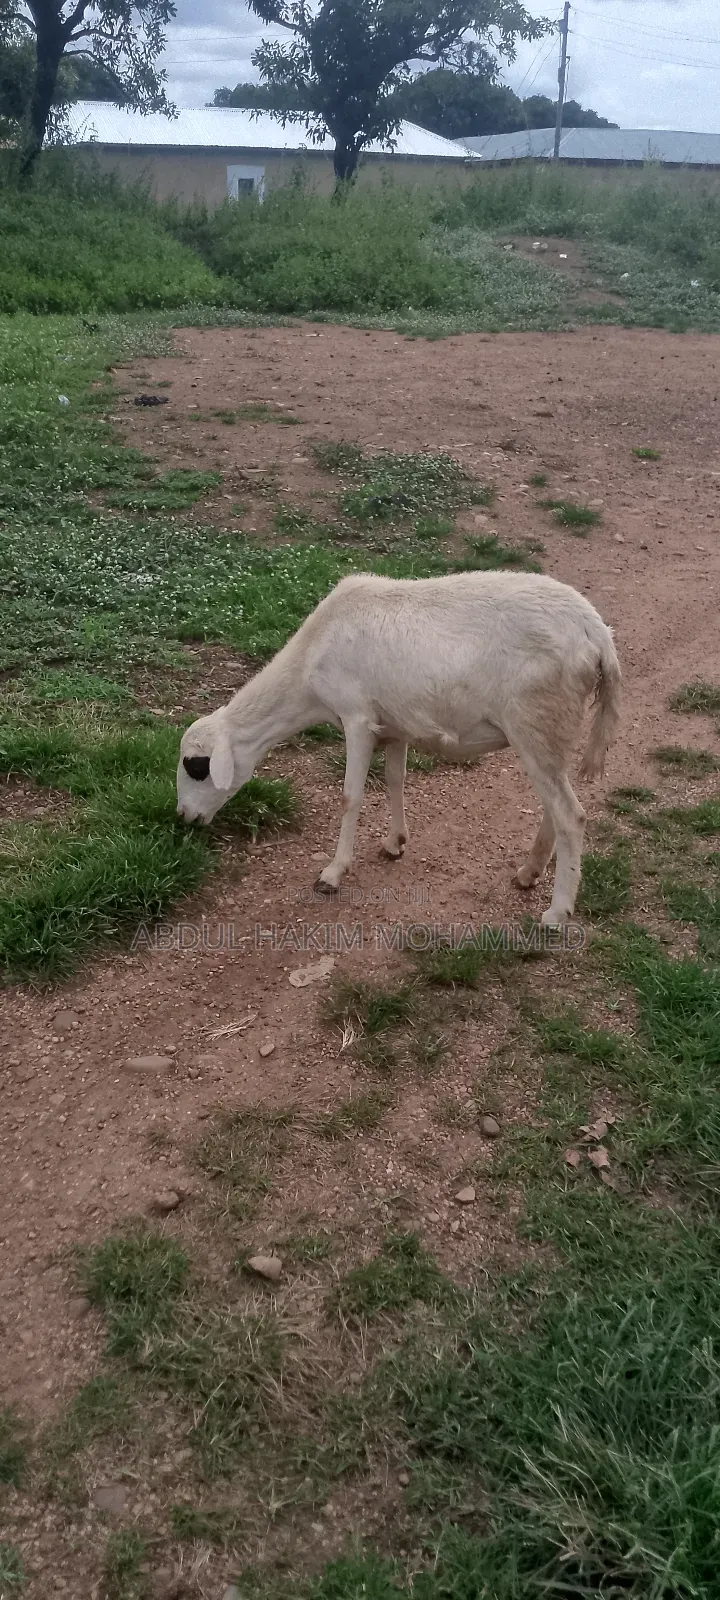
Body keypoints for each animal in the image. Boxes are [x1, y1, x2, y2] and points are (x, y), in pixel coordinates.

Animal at [176, 571, 621, 925]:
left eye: (195, 766)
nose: (183, 818)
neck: (306, 672)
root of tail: (597, 633)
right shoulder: (394, 725)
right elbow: (395, 779)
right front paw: (395, 842)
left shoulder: (356, 718)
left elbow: (350, 797)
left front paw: (333, 872)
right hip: (552, 728)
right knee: (555, 806)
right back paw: (529, 872)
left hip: (535, 721)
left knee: (571, 816)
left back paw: (557, 912)